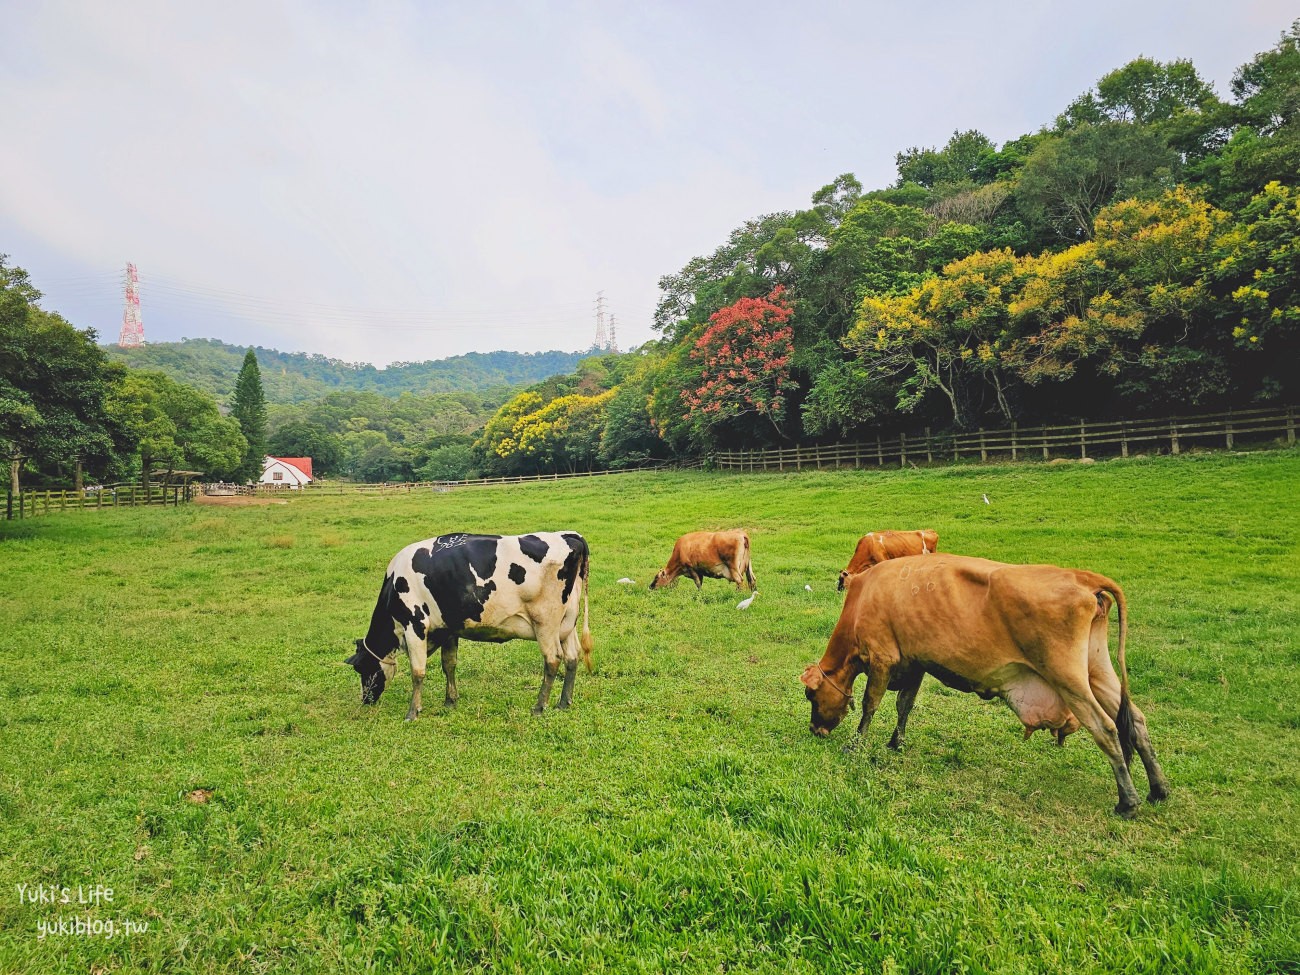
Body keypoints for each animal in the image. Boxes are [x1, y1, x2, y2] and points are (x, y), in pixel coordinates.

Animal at [345, 535, 590, 717]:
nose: (366, 700)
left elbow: (417, 672)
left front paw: (413, 711)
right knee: (572, 657)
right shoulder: (447, 628)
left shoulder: (415, 624)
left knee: (552, 660)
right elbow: (449, 664)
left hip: (545, 622)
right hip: (567, 623)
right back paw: (564, 702)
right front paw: (450, 701)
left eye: (361, 668)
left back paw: (539, 706)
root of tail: (570, 536)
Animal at [795, 556, 1175, 816]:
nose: (815, 730)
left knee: (1107, 727)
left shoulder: (881, 659)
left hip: (1067, 676)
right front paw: (895, 742)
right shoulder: (915, 663)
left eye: (810, 694)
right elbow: (905, 705)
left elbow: (870, 705)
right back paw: (1158, 789)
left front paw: (855, 745)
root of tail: (1081, 577)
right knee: (1136, 721)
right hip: (1097, 672)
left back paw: (1128, 801)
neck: (866, 595)